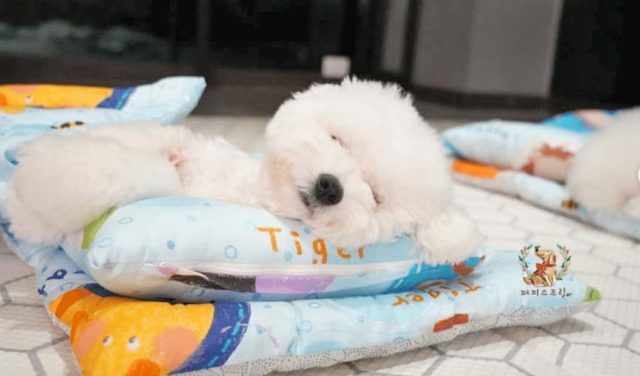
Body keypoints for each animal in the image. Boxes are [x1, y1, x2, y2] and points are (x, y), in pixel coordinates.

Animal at [6, 78, 480, 262]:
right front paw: (31, 201)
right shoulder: (178, 145)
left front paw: (31, 204)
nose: (331, 187)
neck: (252, 192)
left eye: (377, 196)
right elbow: (122, 153)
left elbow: (138, 174)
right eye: (338, 139)